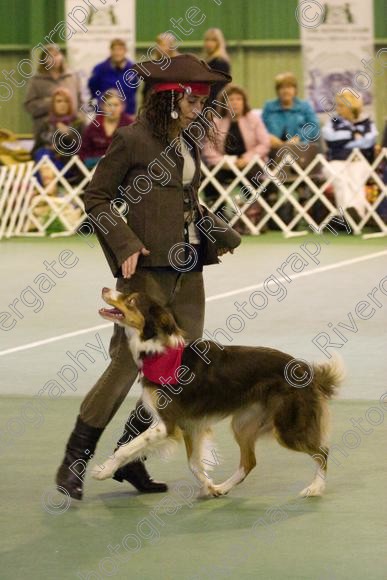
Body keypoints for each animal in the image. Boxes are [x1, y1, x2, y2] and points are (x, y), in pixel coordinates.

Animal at [94, 288, 346, 496]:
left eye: (132, 300)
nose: (105, 288)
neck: (158, 351)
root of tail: (305, 370)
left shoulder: (168, 423)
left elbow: (127, 448)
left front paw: (103, 470)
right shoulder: (190, 424)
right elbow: (194, 464)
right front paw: (209, 487)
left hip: (288, 428)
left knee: (322, 451)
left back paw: (315, 488)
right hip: (243, 424)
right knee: (249, 462)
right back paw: (224, 487)